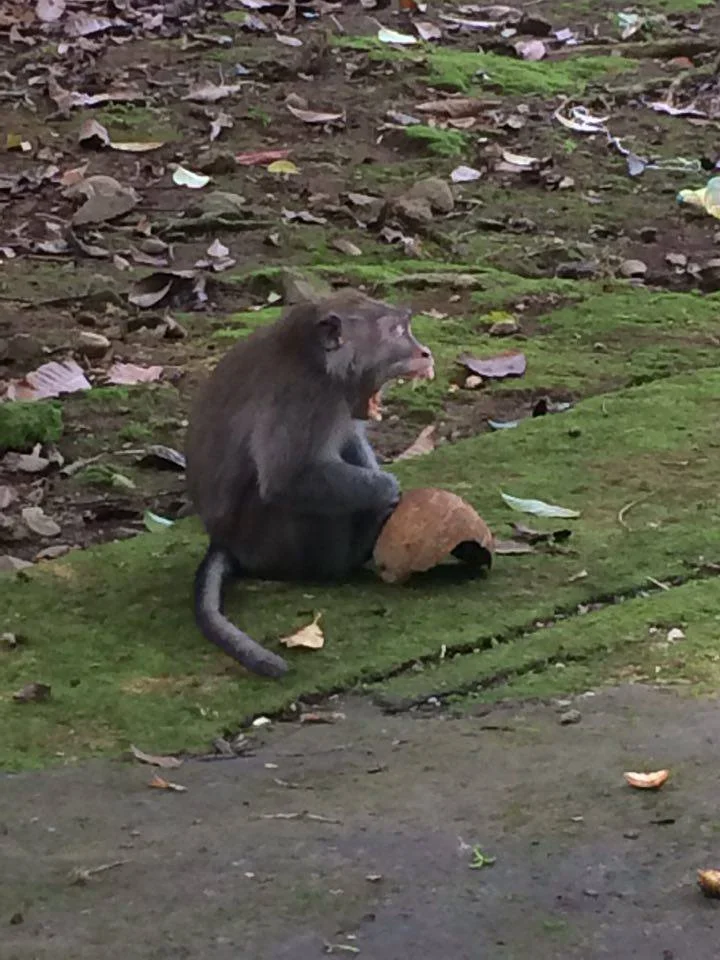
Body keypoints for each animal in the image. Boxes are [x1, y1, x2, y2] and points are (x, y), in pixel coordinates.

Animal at [185, 289, 434, 679]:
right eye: (396, 331)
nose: (425, 352)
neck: (319, 361)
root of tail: (224, 542)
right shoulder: (305, 399)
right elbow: (286, 479)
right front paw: (388, 491)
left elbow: (348, 442)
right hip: (271, 541)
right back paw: (347, 560)